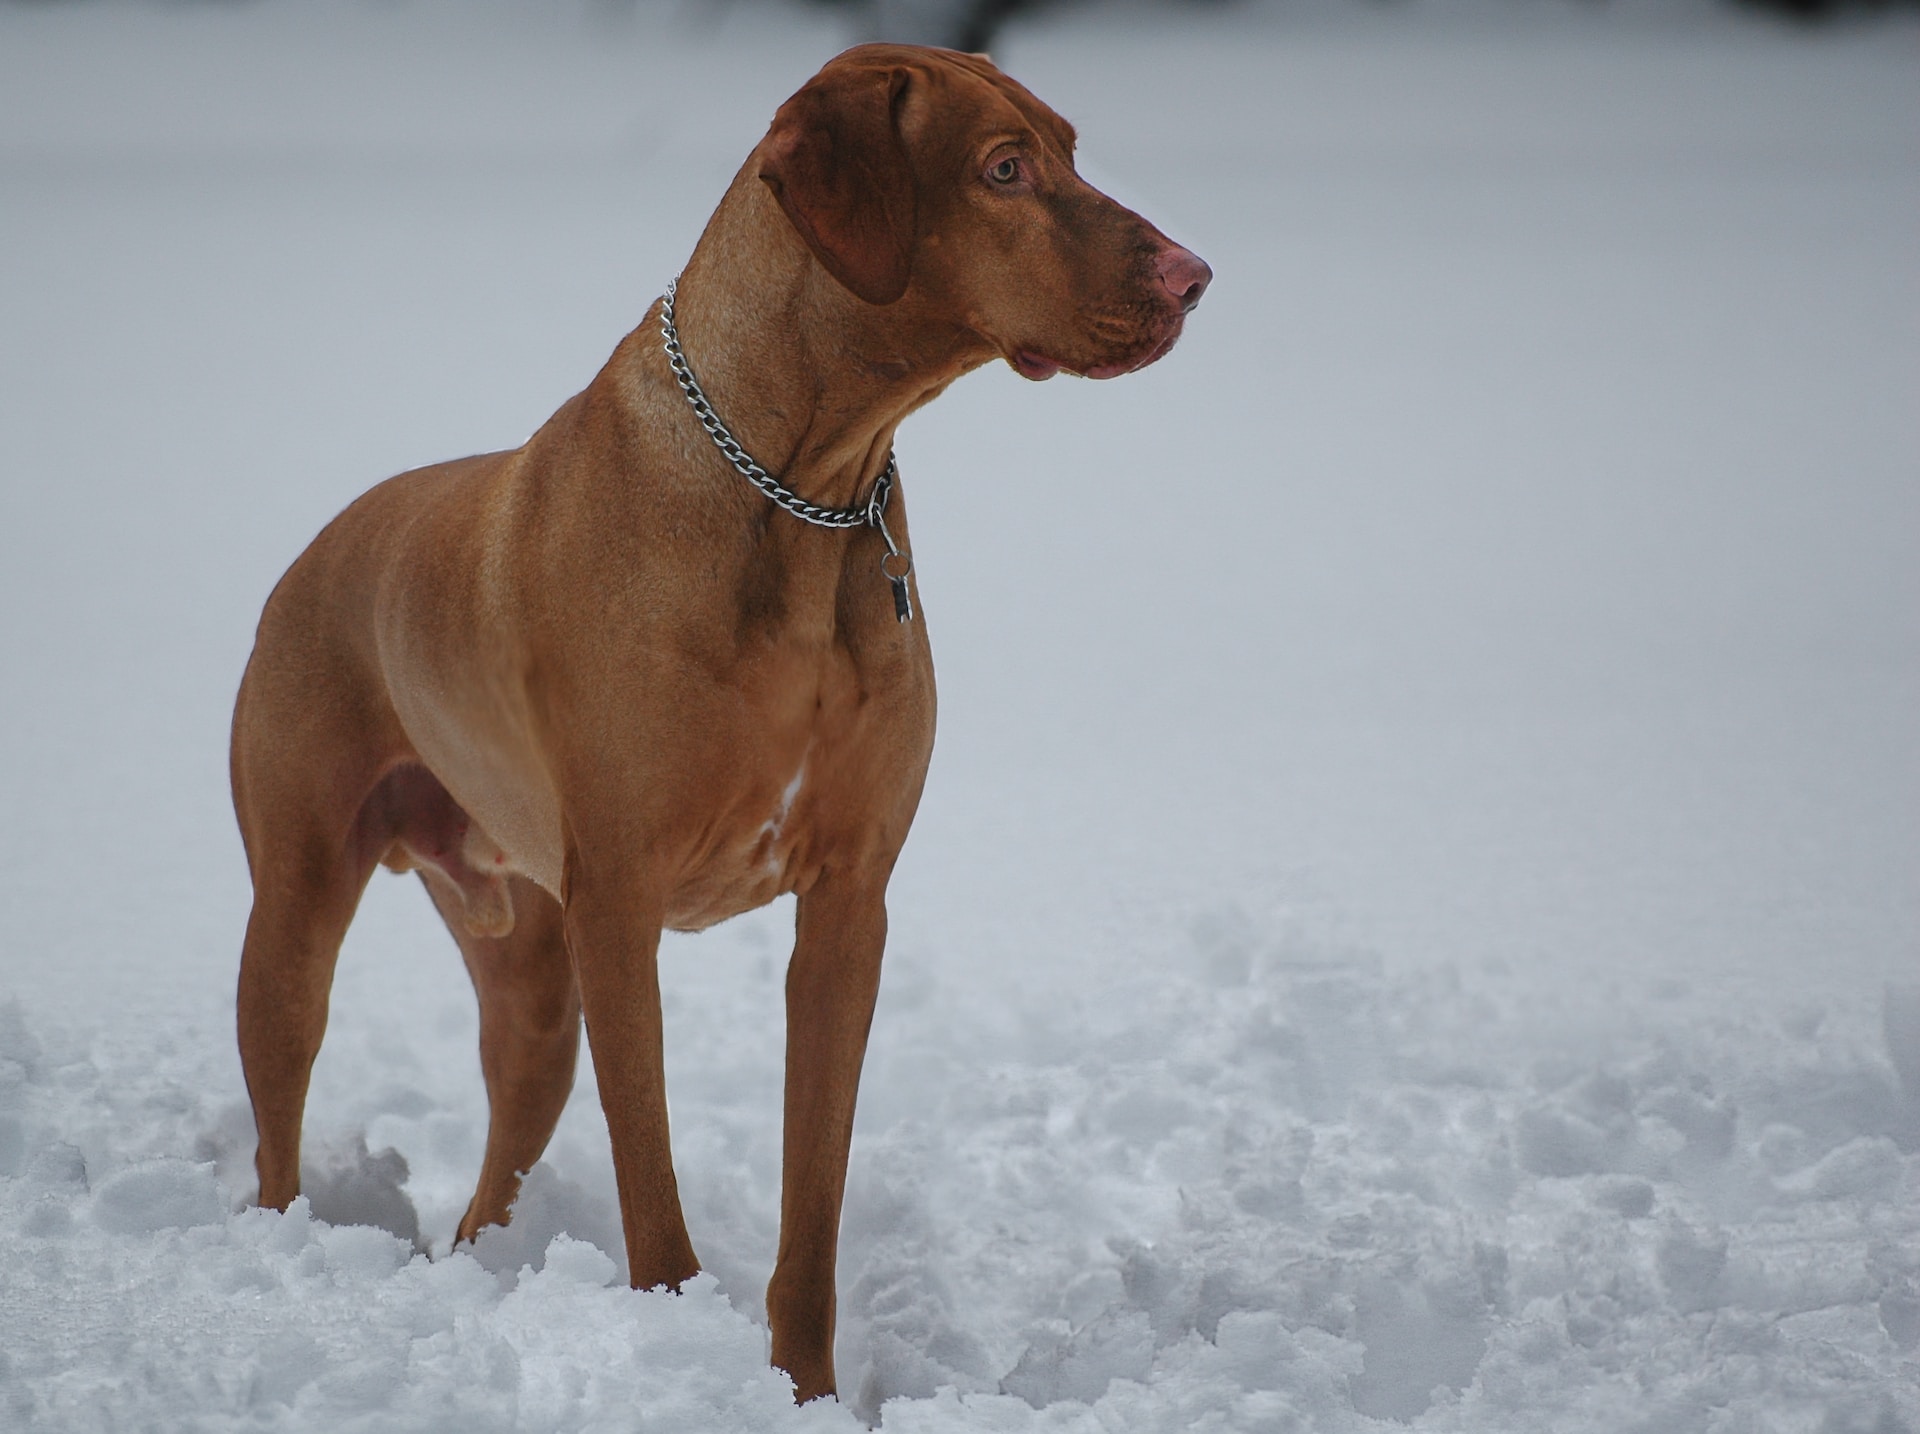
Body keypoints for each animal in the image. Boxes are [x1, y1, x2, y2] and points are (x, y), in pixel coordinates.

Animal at [232, 41, 1205, 1405]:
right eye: (1004, 169)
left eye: (1068, 146)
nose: (1194, 276)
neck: (803, 488)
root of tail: (322, 541)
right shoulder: (621, 905)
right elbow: (652, 1182)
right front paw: (672, 1332)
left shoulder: (849, 907)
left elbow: (816, 1203)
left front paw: (804, 1391)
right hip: (299, 911)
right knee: (278, 1123)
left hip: (532, 981)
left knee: (499, 1158)